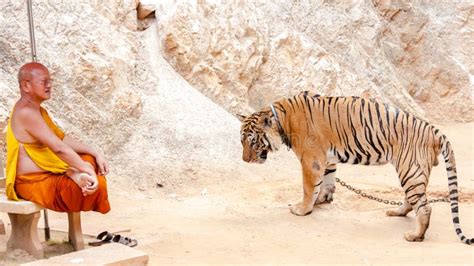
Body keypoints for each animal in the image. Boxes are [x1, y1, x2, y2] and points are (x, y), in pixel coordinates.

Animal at [239, 90, 472, 244]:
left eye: (252, 141)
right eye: (242, 141)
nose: (244, 160)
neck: (282, 119)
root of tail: (433, 129)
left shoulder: (311, 160)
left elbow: (308, 187)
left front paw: (302, 209)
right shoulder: (328, 158)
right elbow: (327, 181)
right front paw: (322, 200)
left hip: (410, 169)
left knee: (424, 206)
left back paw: (415, 236)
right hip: (413, 172)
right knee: (413, 199)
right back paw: (397, 212)